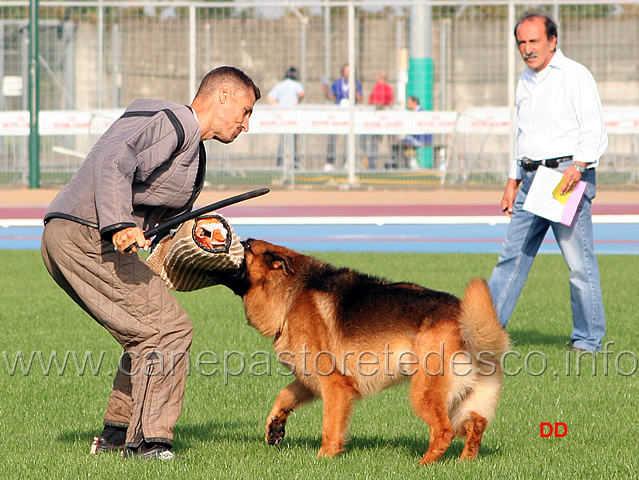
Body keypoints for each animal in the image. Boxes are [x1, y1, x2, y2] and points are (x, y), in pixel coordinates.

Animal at [215, 240, 510, 464]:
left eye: (243, 247)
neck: (291, 291)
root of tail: (464, 319)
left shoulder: (333, 384)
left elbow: (330, 426)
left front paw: (325, 457)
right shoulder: (310, 378)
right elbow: (284, 395)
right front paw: (275, 425)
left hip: (424, 392)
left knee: (444, 431)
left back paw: (423, 464)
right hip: (468, 397)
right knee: (476, 425)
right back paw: (464, 462)